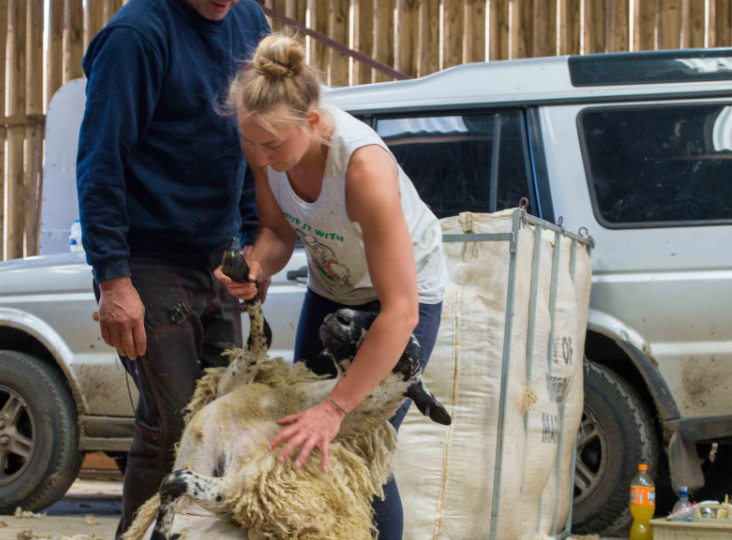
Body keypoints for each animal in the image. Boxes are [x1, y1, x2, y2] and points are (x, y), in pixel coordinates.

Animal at [122, 251, 448, 540]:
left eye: (405, 361)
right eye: (374, 312)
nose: (341, 316)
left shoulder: (246, 493)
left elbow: (174, 481)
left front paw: (161, 531)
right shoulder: (225, 391)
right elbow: (258, 343)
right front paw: (240, 274)